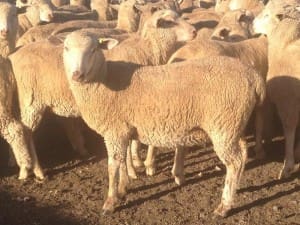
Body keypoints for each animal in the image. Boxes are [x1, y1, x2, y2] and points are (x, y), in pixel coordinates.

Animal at [62, 29, 264, 217]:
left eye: (94, 49)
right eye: (66, 48)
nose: (77, 75)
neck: (104, 79)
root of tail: (254, 77)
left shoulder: (115, 131)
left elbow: (113, 165)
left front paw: (110, 202)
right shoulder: (123, 129)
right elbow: (123, 160)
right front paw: (123, 188)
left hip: (223, 126)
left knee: (234, 162)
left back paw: (224, 206)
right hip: (234, 124)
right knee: (243, 154)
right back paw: (236, 190)